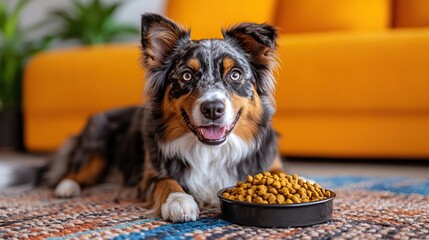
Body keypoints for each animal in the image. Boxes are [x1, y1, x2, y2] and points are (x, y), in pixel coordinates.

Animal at [45, 13, 282, 223]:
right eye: (186, 75)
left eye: (235, 74)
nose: (213, 109)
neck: (210, 151)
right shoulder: (149, 174)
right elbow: (166, 180)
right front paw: (178, 201)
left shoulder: (271, 163)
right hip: (97, 143)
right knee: (76, 171)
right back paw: (66, 188)